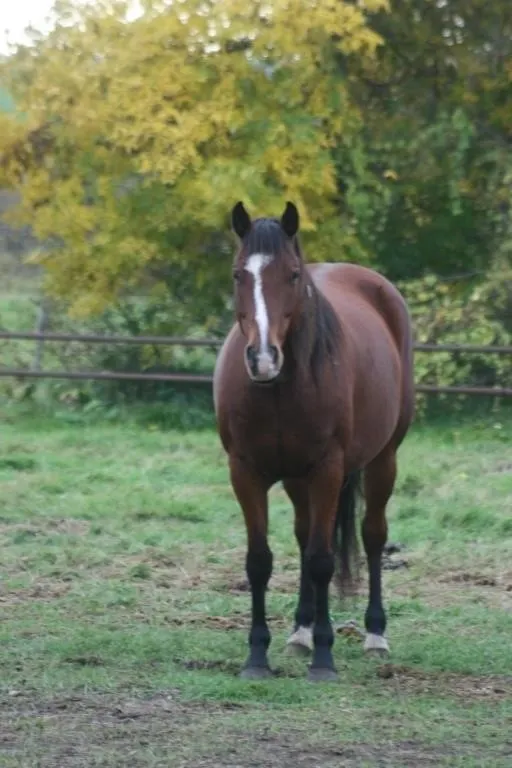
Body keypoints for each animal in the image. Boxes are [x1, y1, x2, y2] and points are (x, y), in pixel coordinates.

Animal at [213, 201, 415, 682]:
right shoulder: (244, 472)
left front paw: (325, 659)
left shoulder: (327, 470)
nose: (263, 358)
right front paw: (257, 656)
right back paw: (300, 631)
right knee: (305, 537)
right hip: (296, 479)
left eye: (292, 275)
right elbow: (260, 561)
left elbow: (323, 561)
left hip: (383, 460)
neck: (280, 387)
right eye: (237, 274)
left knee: (372, 535)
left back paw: (374, 634)